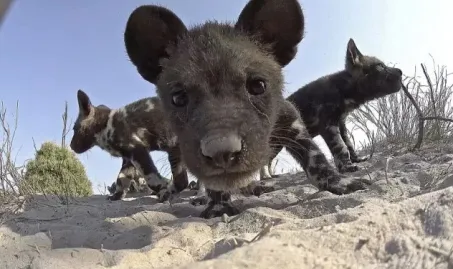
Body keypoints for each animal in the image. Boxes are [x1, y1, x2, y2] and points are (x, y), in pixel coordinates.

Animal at [122, 0, 368, 218]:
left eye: (258, 85)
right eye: (178, 98)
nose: (221, 152)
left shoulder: (292, 122)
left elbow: (316, 157)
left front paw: (341, 182)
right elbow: (213, 183)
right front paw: (218, 206)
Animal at [266, 38, 400, 173]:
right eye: (380, 66)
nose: (400, 71)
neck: (341, 88)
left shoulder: (341, 124)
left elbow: (348, 144)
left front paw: (355, 160)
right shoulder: (329, 125)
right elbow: (341, 147)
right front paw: (346, 167)